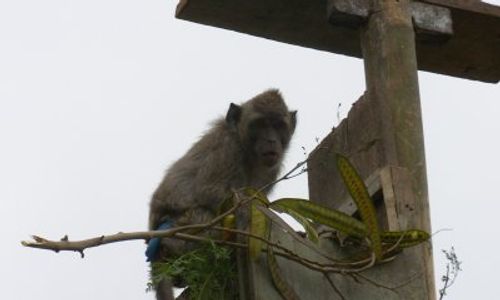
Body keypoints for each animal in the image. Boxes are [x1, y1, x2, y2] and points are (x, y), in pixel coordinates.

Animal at [148, 89, 296, 300]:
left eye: (278, 126)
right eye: (259, 124)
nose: (271, 140)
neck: (246, 148)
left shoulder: (271, 168)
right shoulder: (226, 149)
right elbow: (208, 191)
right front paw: (250, 212)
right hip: (183, 225)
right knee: (206, 216)